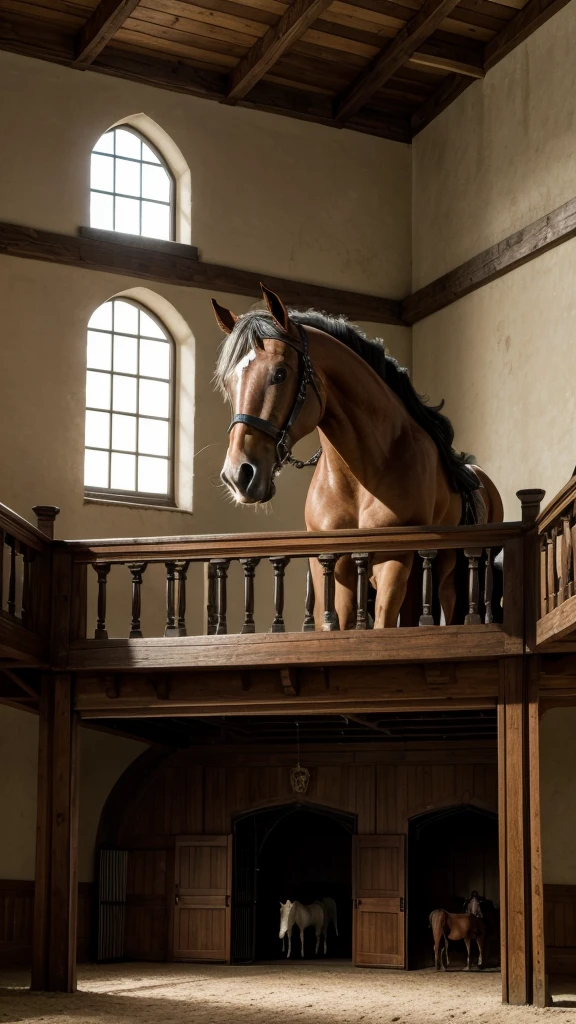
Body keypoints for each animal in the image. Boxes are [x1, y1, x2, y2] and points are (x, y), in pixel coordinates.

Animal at [212, 282, 502, 630]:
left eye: (280, 374)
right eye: (229, 382)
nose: (238, 475)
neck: (362, 473)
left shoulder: (394, 563)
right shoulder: (335, 568)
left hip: (449, 577)